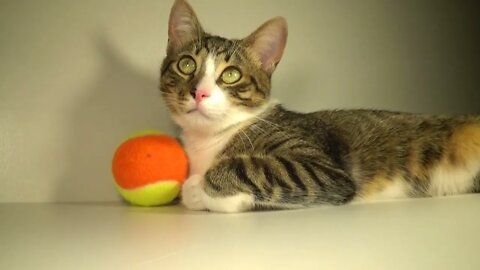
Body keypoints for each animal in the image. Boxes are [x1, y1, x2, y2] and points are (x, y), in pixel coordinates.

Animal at [158, 0, 480, 212]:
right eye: (186, 65)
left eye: (231, 74)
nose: (199, 93)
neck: (208, 141)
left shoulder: (327, 172)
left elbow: (254, 167)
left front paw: (198, 188)